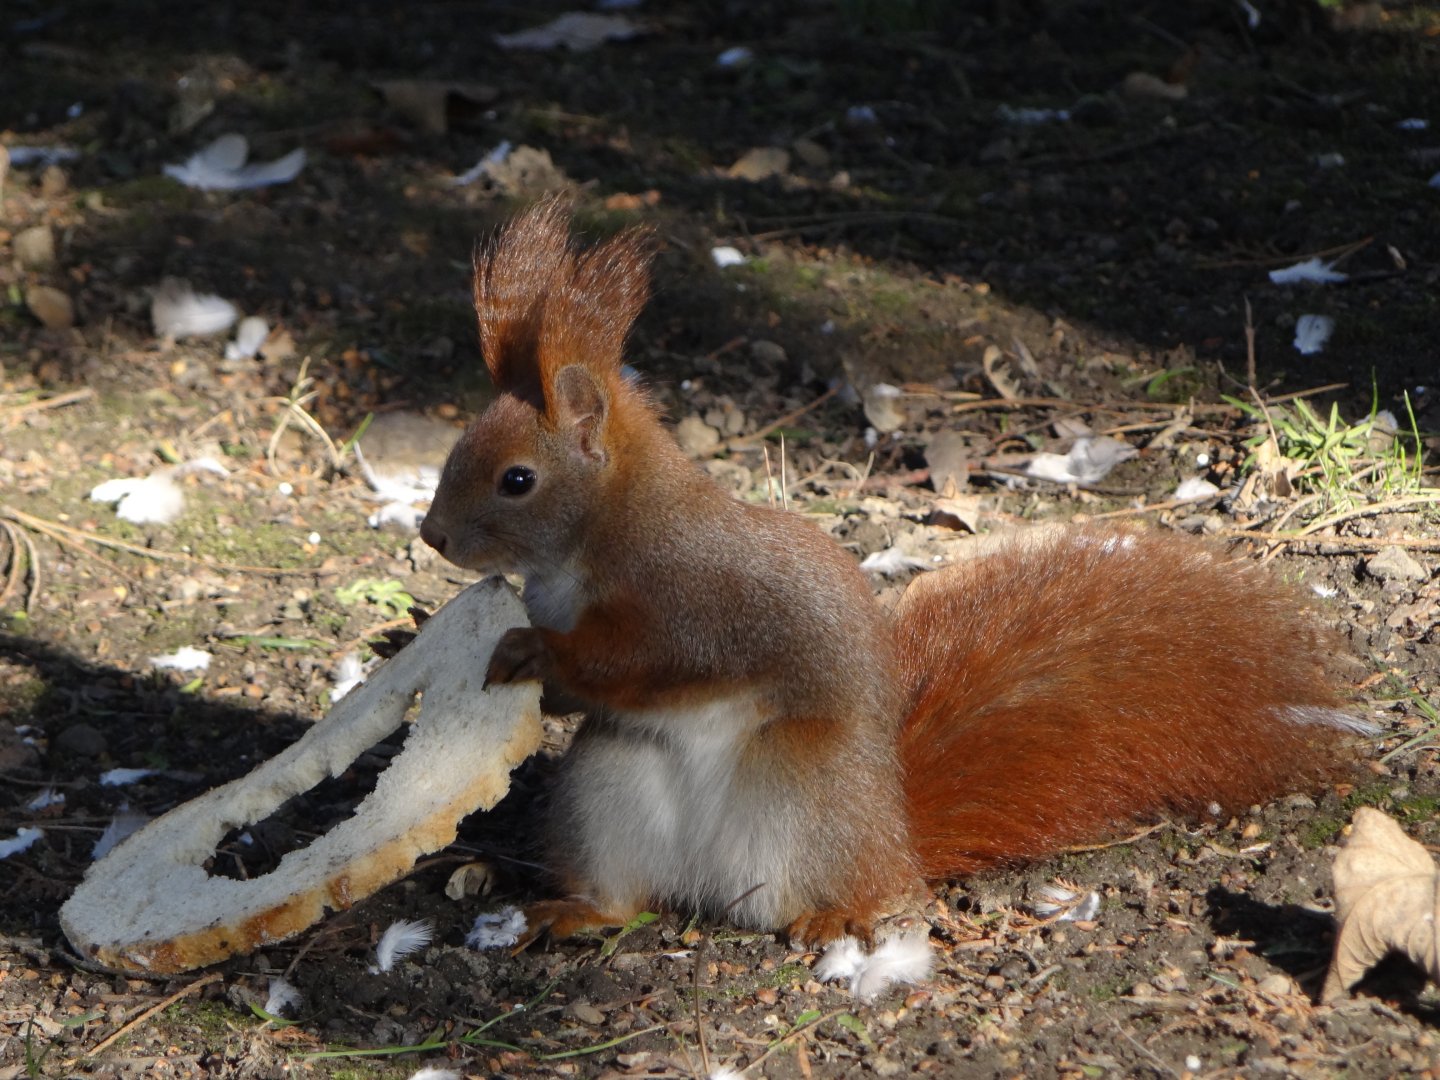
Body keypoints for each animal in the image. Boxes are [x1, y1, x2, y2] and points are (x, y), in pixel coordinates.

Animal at [419, 198, 1360, 948]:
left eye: (516, 480)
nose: (430, 535)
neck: (593, 543)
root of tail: (895, 842)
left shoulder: (697, 598)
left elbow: (654, 658)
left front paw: (534, 650)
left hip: (803, 789)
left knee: (843, 892)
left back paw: (834, 916)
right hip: (612, 785)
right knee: (628, 890)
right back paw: (581, 911)